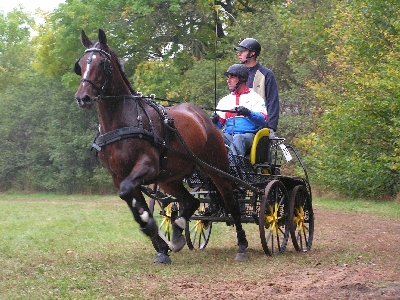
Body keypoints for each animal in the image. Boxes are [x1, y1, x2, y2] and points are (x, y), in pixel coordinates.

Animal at [72, 28, 247, 262]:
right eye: (80, 64)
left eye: (102, 64)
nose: (83, 98)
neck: (123, 121)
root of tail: (205, 118)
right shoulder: (120, 176)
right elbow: (130, 198)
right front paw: (158, 242)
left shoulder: (147, 167)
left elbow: (130, 194)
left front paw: (151, 226)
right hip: (169, 178)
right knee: (190, 201)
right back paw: (178, 232)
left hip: (216, 168)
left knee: (231, 201)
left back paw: (242, 245)